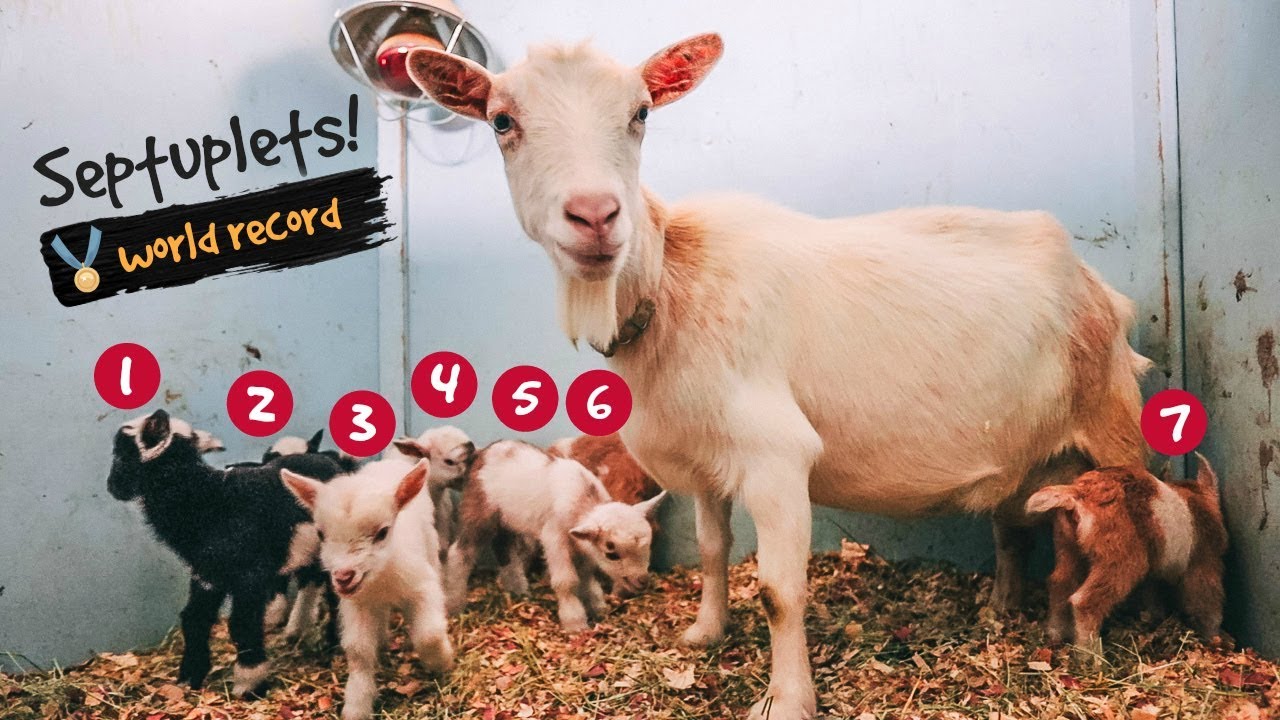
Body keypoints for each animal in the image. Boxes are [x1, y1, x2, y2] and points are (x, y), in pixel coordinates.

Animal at [106, 410, 347, 697]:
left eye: (121, 453)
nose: (112, 488)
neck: (211, 498)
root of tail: (327, 461)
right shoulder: (207, 574)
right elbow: (193, 618)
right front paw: (190, 675)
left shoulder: (249, 577)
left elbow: (242, 624)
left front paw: (249, 683)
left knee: (334, 598)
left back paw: (332, 643)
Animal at [282, 459, 453, 720]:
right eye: (321, 533)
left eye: (383, 532)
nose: (344, 576)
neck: (382, 577)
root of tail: (390, 461)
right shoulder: (357, 603)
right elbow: (358, 651)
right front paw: (356, 706)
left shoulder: (422, 586)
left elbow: (429, 634)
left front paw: (441, 662)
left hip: (430, 544)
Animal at [444, 440, 665, 631]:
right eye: (612, 554)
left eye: (648, 546)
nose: (642, 581)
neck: (582, 501)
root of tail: (479, 453)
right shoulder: (554, 537)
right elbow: (566, 580)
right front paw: (575, 623)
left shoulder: (581, 543)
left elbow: (587, 576)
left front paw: (598, 607)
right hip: (478, 510)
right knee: (461, 552)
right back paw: (454, 605)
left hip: (506, 520)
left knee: (504, 549)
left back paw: (518, 590)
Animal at [1025, 454, 1227, 661]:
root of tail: (1077, 494)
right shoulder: (1203, 564)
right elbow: (1206, 601)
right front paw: (1214, 637)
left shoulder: (1152, 577)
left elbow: (1152, 598)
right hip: (1121, 561)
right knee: (1085, 601)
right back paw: (1092, 658)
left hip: (1068, 548)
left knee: (1059, 583)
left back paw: (1055, 635)